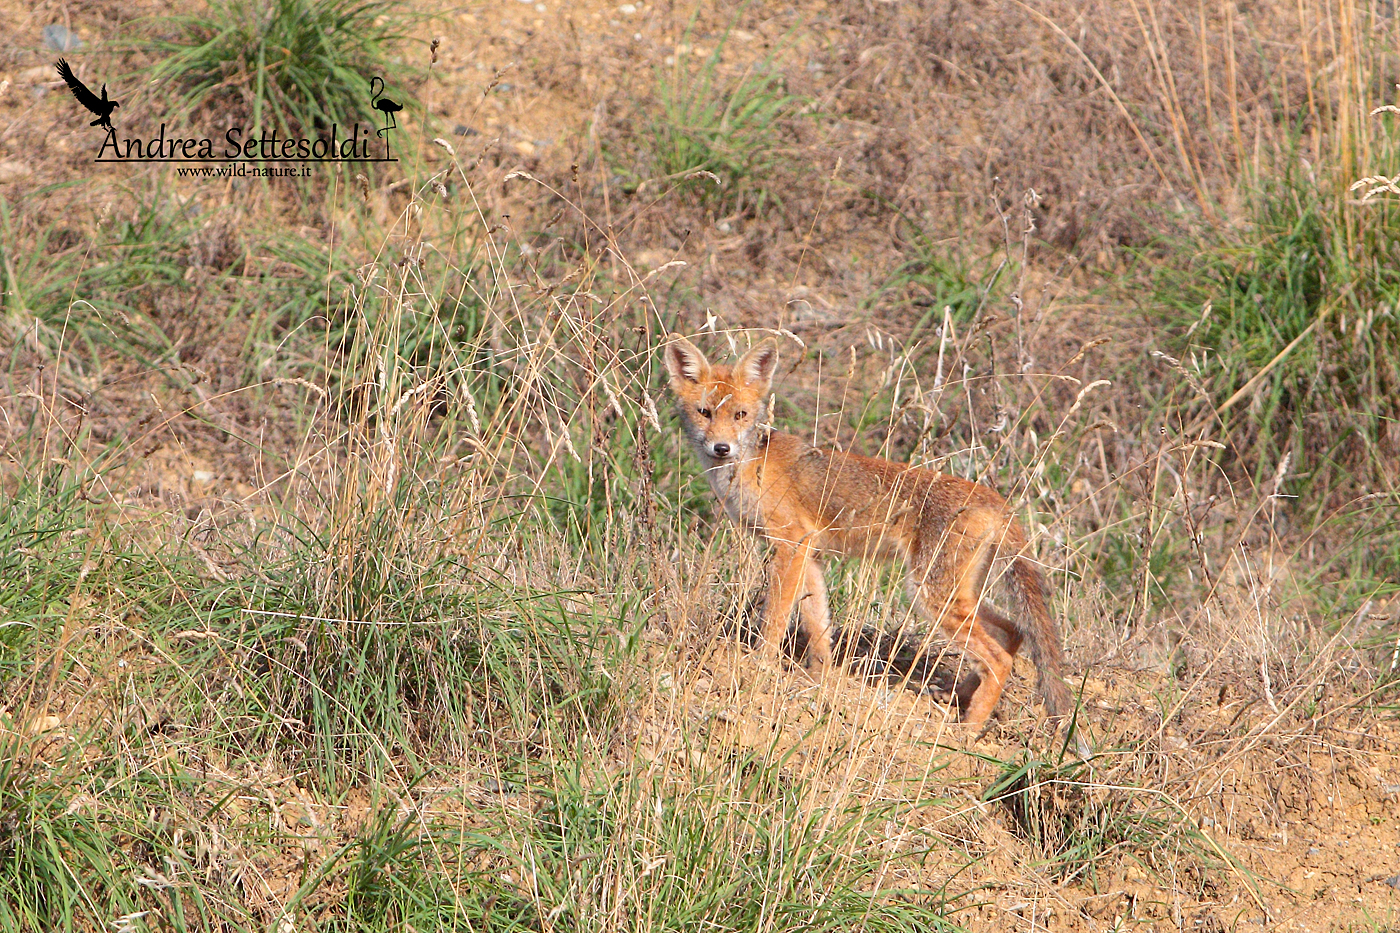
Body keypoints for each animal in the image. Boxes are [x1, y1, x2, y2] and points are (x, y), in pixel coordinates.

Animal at [663, 333, 1073, 730]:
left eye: (740, 415)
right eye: (704, 413)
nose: (722, 447)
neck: (750, 465)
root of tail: (997, 500)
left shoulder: (790, 543)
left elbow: (775, 618)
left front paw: (758, 666)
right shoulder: (808, 553)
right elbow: (818, 625)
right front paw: (819, 678)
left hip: (928, 595)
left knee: (999, 658)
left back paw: (968, 730)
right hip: (954, 594)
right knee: (1013, 633)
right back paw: (960, 696)